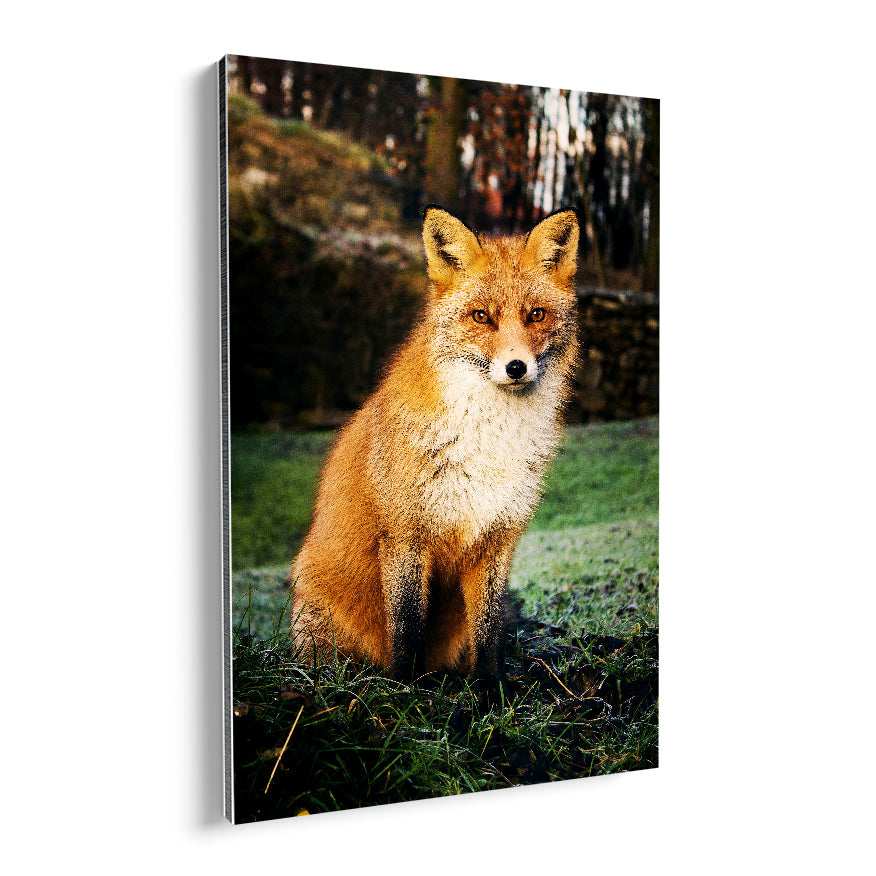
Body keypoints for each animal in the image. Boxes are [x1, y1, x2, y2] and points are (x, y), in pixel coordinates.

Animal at [290, 206, 580, 695]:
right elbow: (407, 627)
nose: (516, 367)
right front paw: (406, 692)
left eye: (536, 315)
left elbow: (488, 631)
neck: (488, 442)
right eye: (481, 316)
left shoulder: (496, 539)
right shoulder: (405, 535)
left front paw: (490, 693)